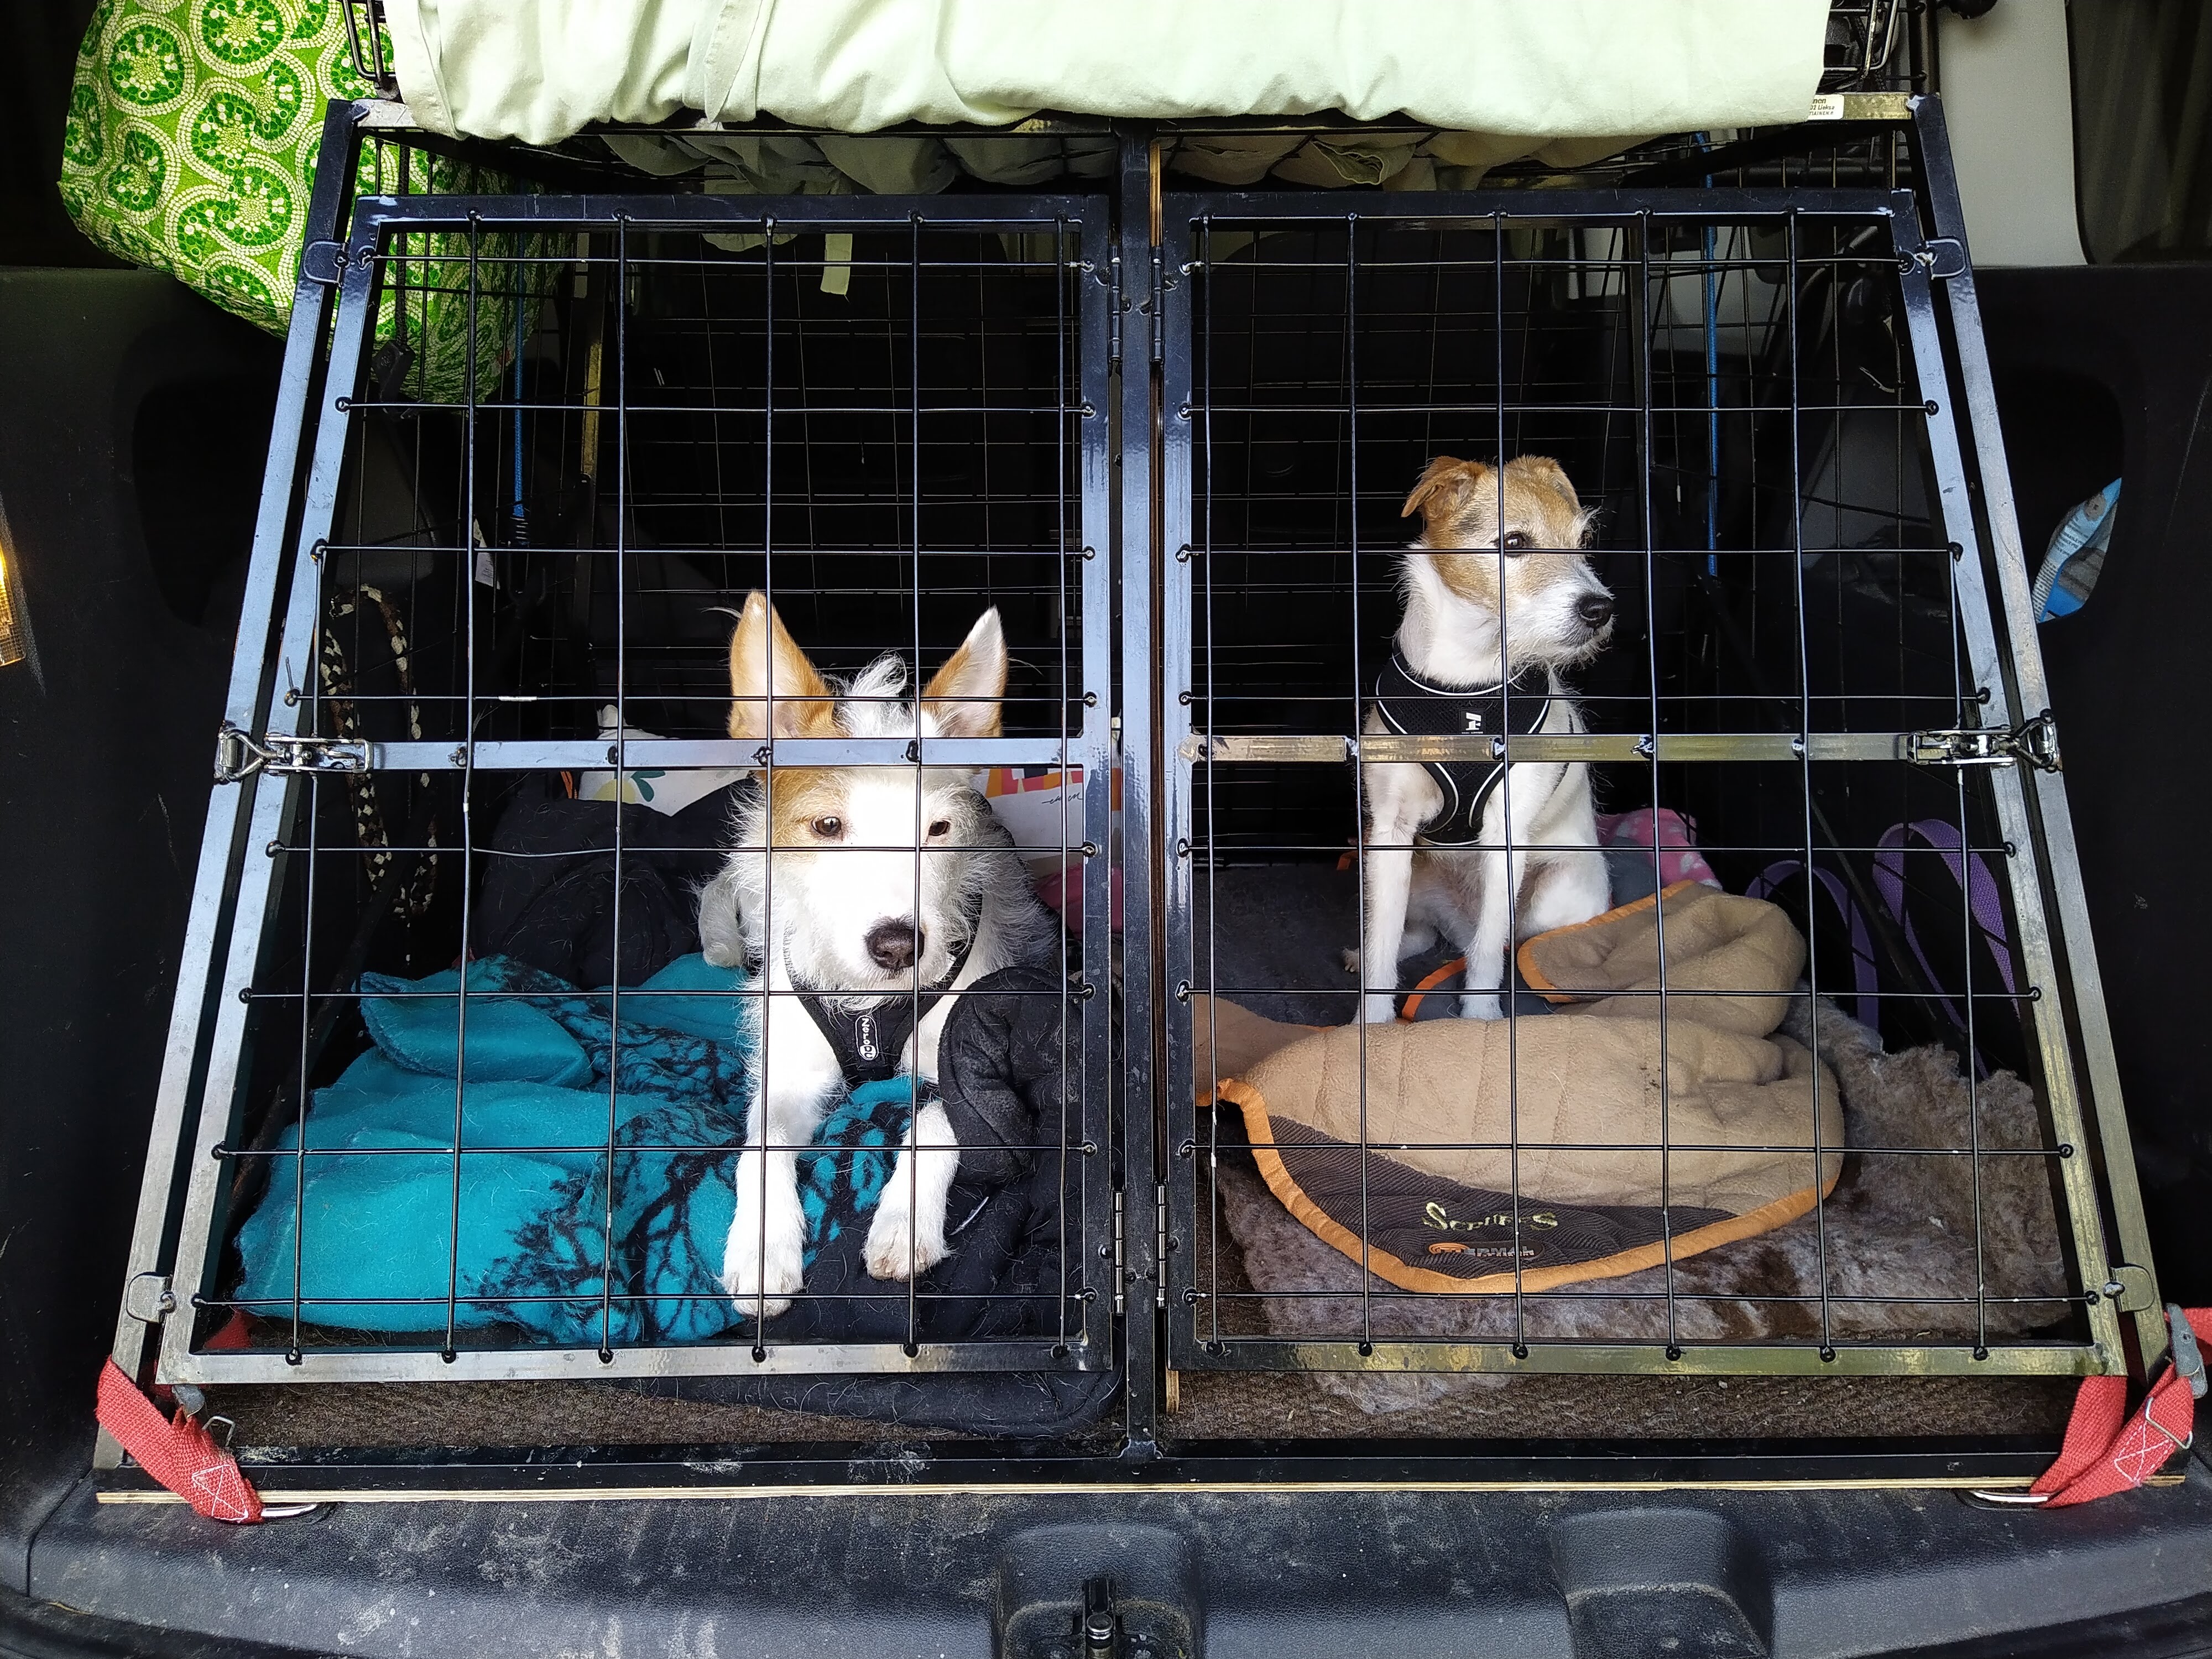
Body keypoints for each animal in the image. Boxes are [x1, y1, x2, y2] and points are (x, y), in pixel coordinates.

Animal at [702, 592, 1055, 1318]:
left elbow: (937, 1121)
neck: (870, 1003)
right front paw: (761, 1243)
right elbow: (760, 1141)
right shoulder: (789, 1071)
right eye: (828, 826)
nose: (897, 945)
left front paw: (902, 1223)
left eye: (939, 828)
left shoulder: (972, 1055)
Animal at [1351, 455, 1615, 1024]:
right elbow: (1383, 943)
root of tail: (1459, 920)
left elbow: (1490, 954)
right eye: (1513, 543)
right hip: (1410, 876)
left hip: (1556, 890)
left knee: (1503, 941)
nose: (1600, 609)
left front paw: (1479, 1021)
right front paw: (1371, 1026)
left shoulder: (1506, 832)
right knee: (1417, 933)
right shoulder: (1390, 833)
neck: (1467, 685)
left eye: (1582, 540)